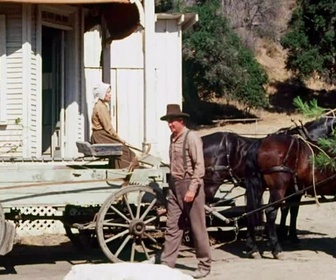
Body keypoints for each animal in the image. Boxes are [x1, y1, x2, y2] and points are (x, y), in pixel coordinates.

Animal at [244, 116, 336, 258]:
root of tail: (260, 143)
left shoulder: (294, 190)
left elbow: (291, 211)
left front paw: (290, 236)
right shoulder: (293, 191)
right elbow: (289, 210)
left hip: (259, 186)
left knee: (252, 210)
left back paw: (252, 247)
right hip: (278, 189)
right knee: (270, 212)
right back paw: (276, 249)